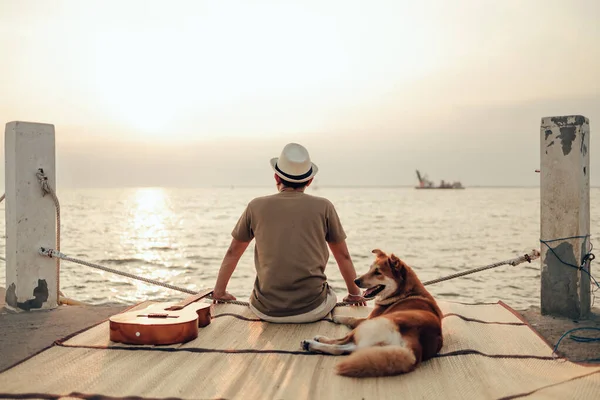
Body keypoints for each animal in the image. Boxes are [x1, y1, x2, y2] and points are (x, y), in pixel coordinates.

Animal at [302, 248, 442, 376]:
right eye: (370, 269)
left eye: (377, 272)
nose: (355, 281)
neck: (405, 292)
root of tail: (415, 342)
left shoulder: (368, 318)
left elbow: (352, 318)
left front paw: (337, 317)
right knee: (342, 348)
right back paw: (311, 345)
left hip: (368, 326)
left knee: (339, 342)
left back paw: (314, 341)